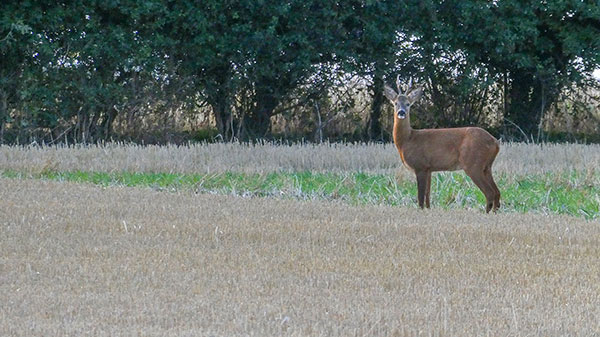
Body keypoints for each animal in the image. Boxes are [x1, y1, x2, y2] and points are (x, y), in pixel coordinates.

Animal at [386, 77, 500, 211]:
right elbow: (427, 195)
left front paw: (420, 210)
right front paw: (428, 210)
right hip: (487, 166)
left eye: (408, 104)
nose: (401, 112)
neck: (407, 140)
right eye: (395, 103)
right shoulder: (429, 168)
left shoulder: (420, 165)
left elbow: (420, 196)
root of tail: (495, 142)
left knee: (490, 192)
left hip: (473, 163)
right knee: (497, 192)